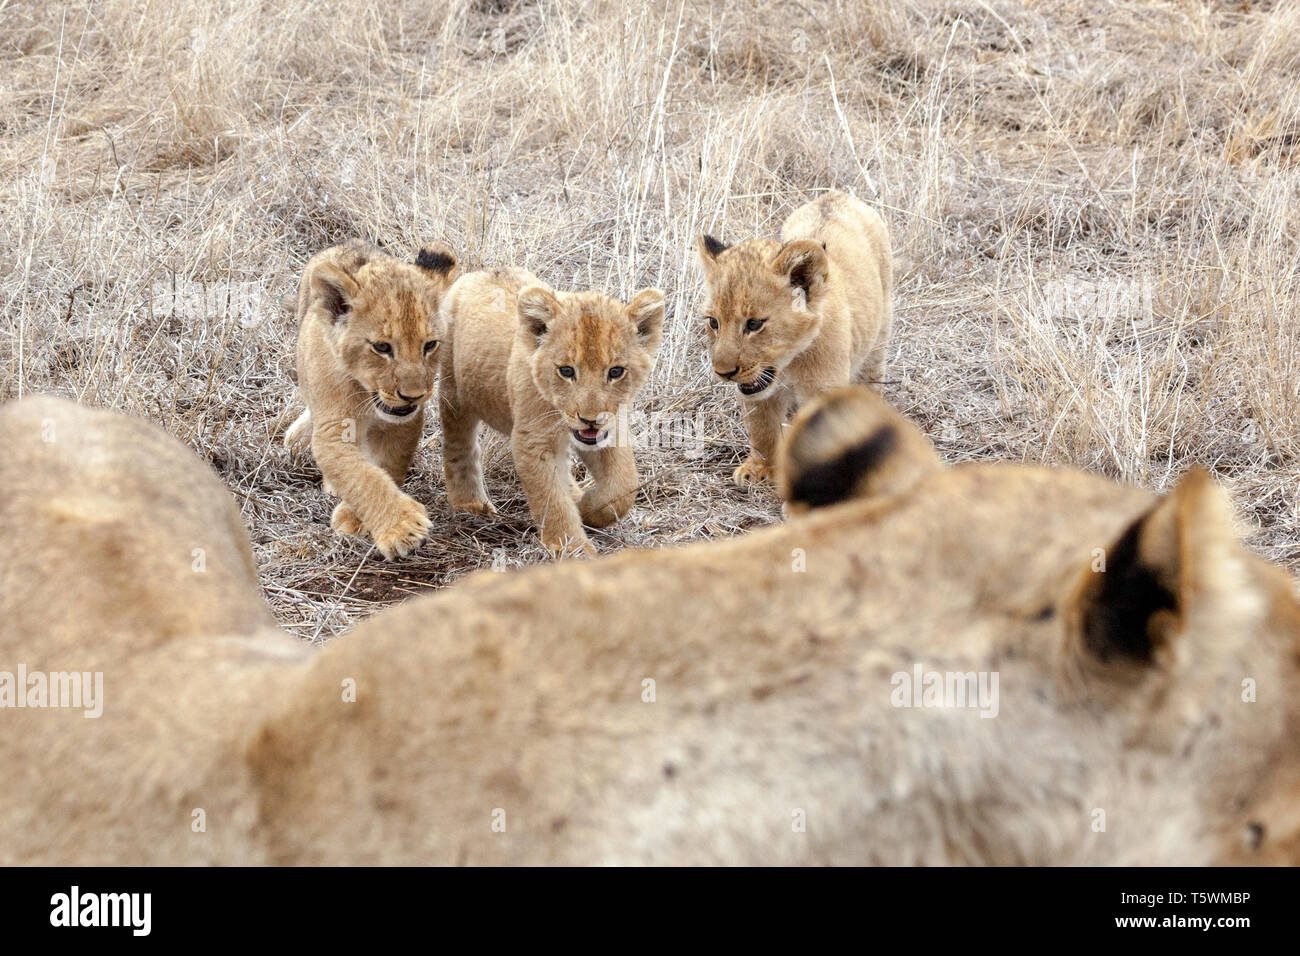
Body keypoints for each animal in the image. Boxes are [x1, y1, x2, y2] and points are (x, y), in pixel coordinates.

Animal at [283, 239, 458, 559]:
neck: (368, 396)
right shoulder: (333, 432)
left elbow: (385, 467)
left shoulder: (405, 425)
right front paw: (403, 528)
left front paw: (356, 518)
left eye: (430, 345)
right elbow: (360, 476)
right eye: (382, 347)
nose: (413, 396)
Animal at [438, 268, 665, 555]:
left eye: (615, 371)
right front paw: (573, 548)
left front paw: (587, 508)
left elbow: (624, 484)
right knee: (459, 443)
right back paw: (469, 503)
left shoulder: (610, 428)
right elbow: (551, 497)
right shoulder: (534, 441)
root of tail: (484, 271)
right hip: (453, 390)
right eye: (566, 371)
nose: (590, 419)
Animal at [697, 189, 892, 485]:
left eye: (754, 324)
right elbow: (763, 429)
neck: (789, 364)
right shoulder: (758, 394)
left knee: (872, 376)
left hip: (879, 334)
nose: (723, 372)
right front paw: (759, 470)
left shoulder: (823, 390)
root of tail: (836, 194)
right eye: (714, 322)